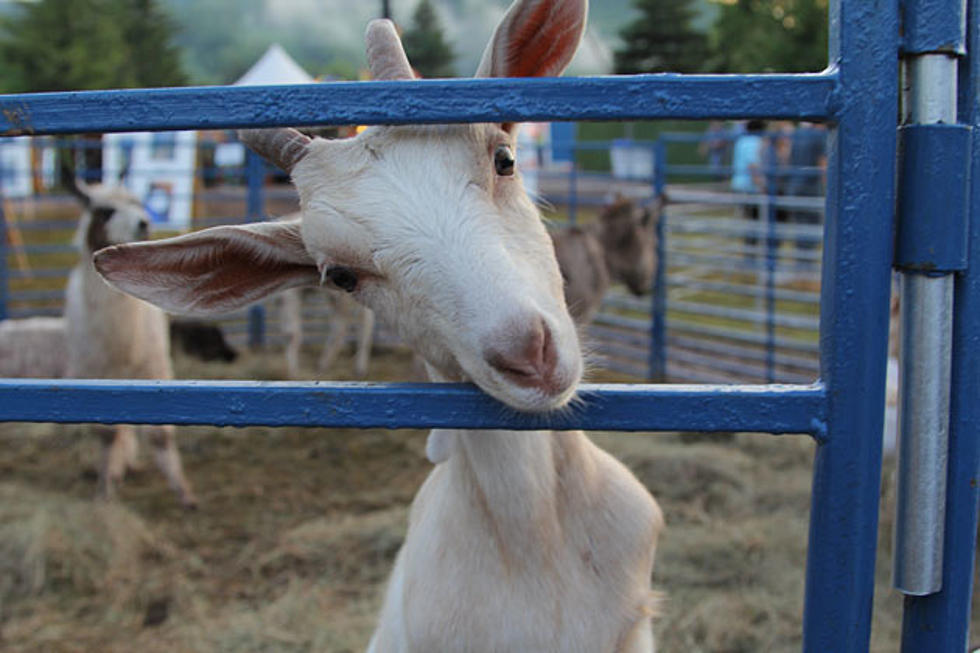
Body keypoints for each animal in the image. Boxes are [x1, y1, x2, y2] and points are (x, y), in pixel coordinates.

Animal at [64, 181, 195, 506]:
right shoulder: (98, 377)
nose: (144, 223)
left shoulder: (154, 368)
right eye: (105, 211)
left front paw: (184, 493)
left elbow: (161, 435)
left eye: (138, 202)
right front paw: (105, 490)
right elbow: (107, 435)